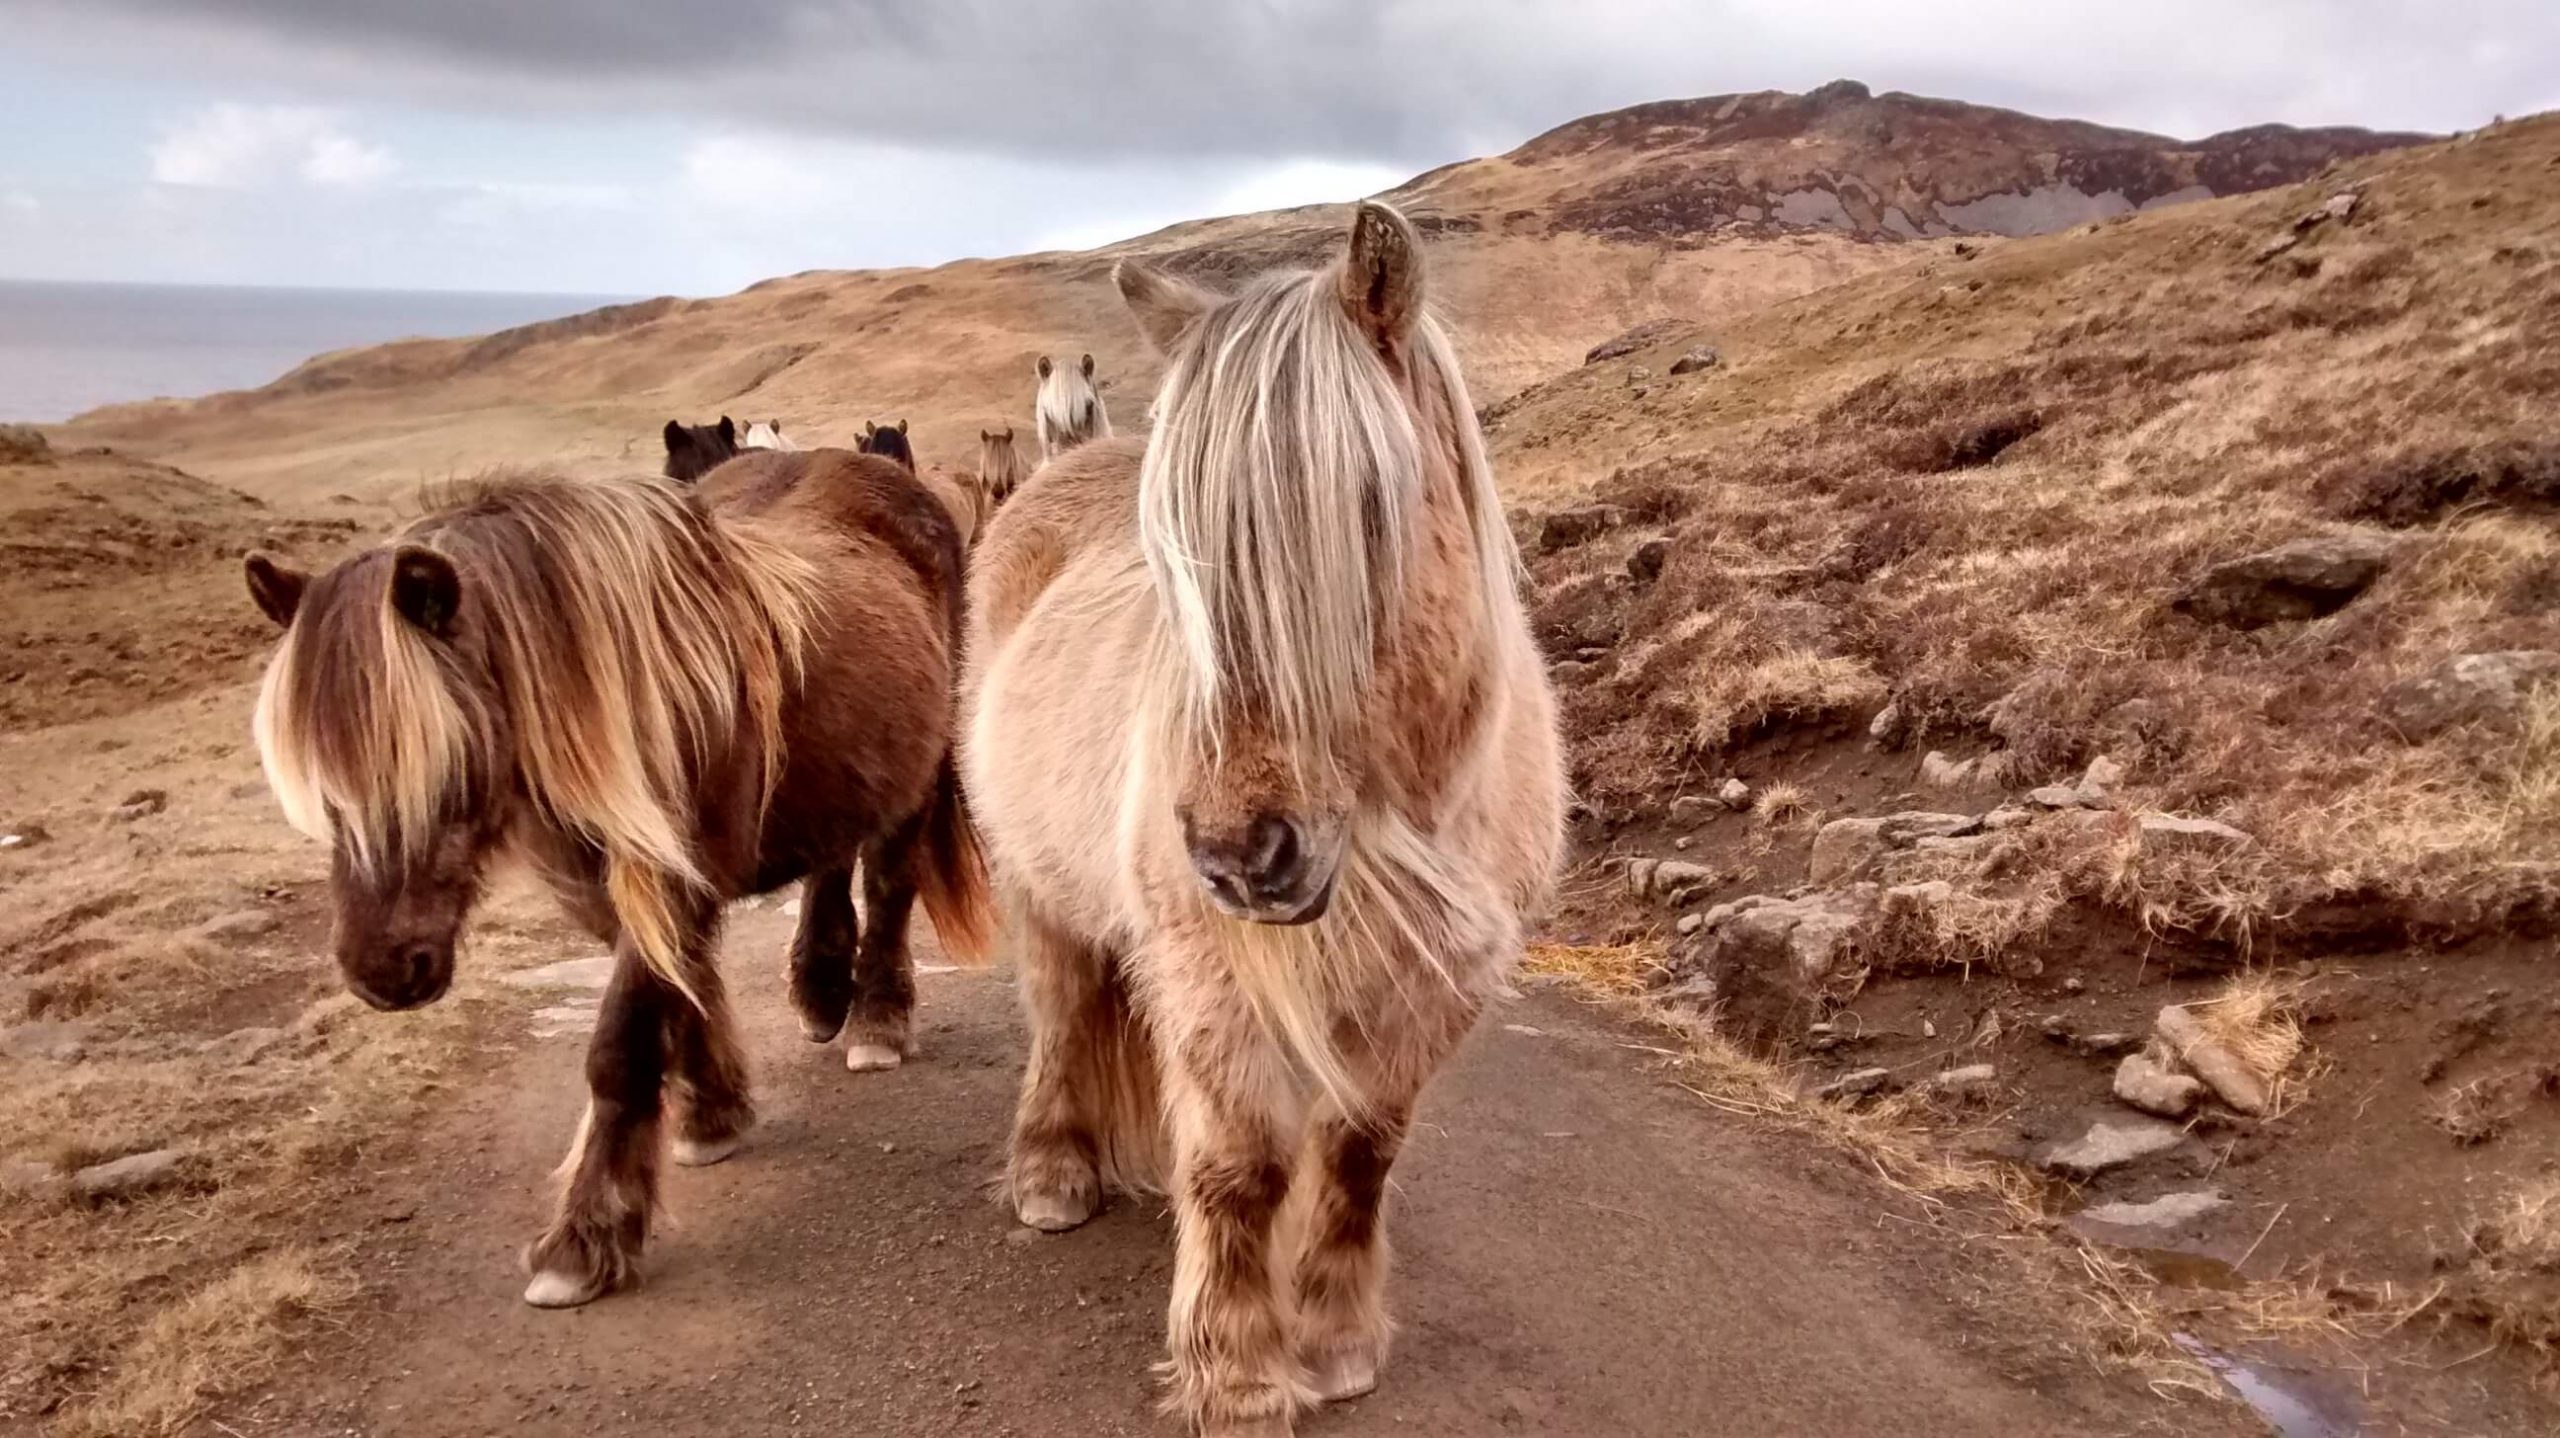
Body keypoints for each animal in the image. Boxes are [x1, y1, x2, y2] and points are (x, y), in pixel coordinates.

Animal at [244, 452, 988, 1304]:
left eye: (449, 764)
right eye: (320, 786)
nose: (383, 972)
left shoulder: (670, 883)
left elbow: (620, 1044)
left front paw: (584, 1236)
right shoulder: (610, 894)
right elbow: (685, 992)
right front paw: (712, 1113)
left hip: (917, 779)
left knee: (890, 886)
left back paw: (875, 1023)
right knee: (831, 863)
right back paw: (821, 992)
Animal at [962, 202, 1556, 1432]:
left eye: (1369, 509)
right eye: (1169, 541)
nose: (1242, 854)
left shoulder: (1430, 993)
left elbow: (1361, 1152)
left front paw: (1334, 1346)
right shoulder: (1213, 972)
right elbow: (1241, 1166)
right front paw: (1236, 1373)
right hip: (1041, 887)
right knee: (1061, 1015)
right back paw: (1052, 1174)